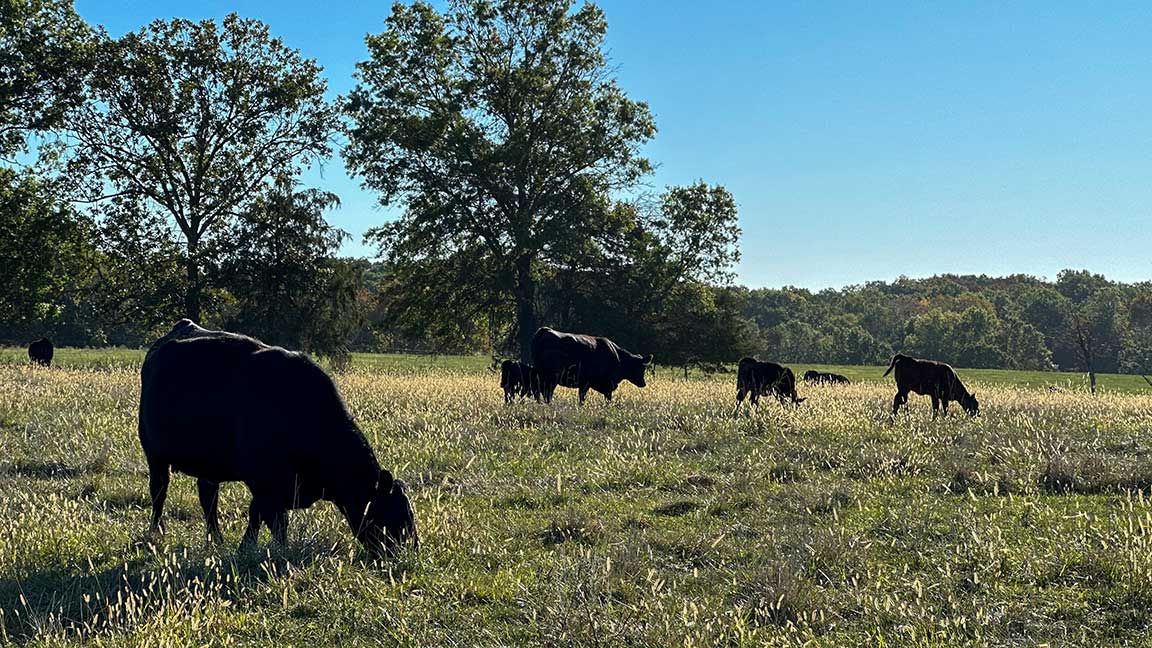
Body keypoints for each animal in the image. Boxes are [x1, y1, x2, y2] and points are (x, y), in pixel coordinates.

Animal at [138, 319, 417, 555]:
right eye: (393, 515)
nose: (406, 553)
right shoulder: (262, 479)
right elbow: (275, 521)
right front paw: (276, 551)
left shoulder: (272, 485)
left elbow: (257, 514)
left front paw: (248, 548)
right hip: (155, 455)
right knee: (159, 492)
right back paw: (156, 533)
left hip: (209, 464)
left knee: (208, 498)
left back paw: (216, 540)